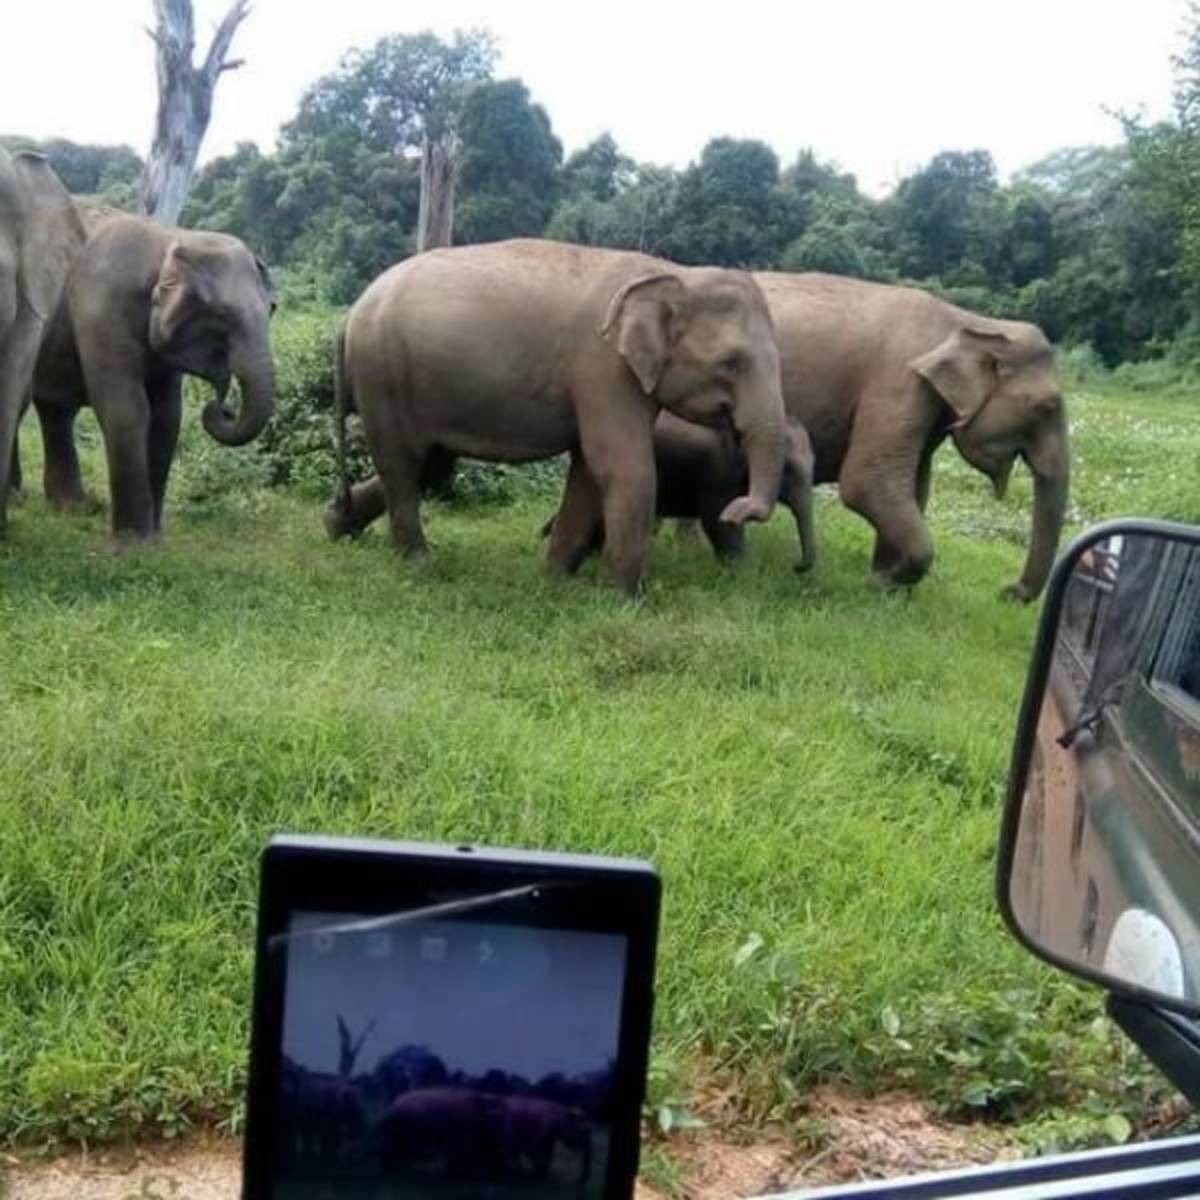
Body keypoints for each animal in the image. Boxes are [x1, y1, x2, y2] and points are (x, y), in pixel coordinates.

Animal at [23, 207, 275, 539]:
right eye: (222, 317)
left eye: (272, 309)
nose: (221, 407)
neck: (172, 237)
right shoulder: (102, 311)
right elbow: (127, 411)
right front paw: (134, 543)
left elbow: (166, 417)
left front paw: (155, 540)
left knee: (56, 411)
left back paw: (72, 508)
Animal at [322, 238, 790, 594]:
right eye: (731, 363)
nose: (735, 510)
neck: (673, 273)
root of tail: (351, 312)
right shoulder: (602, 368)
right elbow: (623, 466)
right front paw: (628, 598)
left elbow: (587, 471)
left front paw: (555, 580)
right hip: (382, 374)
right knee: (403, 462)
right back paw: (419, 563)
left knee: (430, 463)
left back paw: (335, 525)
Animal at [549, 273, 1069, 600]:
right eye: (1048, 407)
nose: (1009, 591)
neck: (970, 320)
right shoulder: (898, 385)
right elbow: (868, 482)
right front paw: (880, 585)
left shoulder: (926, 408)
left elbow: (913, 488)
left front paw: (885, 588)